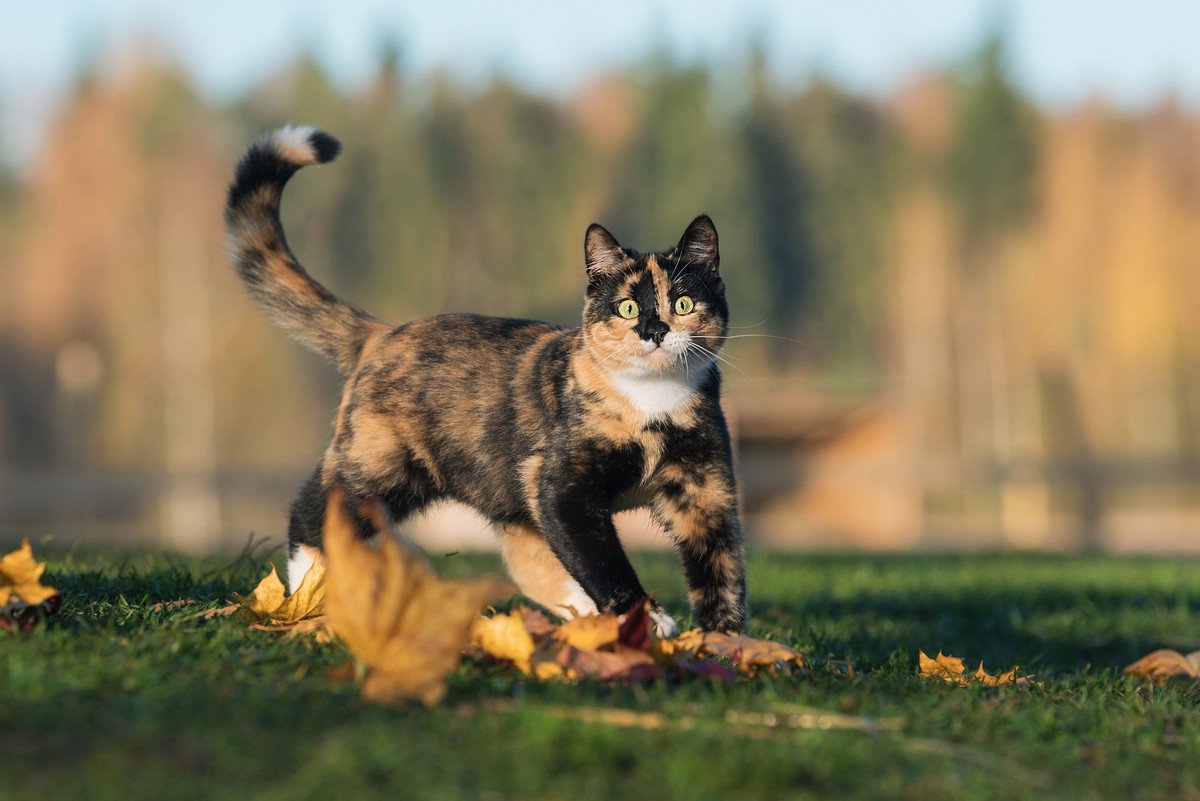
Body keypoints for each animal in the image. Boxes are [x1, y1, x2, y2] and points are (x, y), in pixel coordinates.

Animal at [224, 123, 744, 633]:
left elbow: (723, 573)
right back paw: (308, 594)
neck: (652, 403)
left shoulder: (707, 490)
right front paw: (647, 620)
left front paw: (726, 643)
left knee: (534, 565)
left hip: (506, 495)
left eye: (683, 303)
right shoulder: (562, 488)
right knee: (314, 512)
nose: (655, 331)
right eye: (628, 307)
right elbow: (602, 560)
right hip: (379, 465)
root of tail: (382, 334)